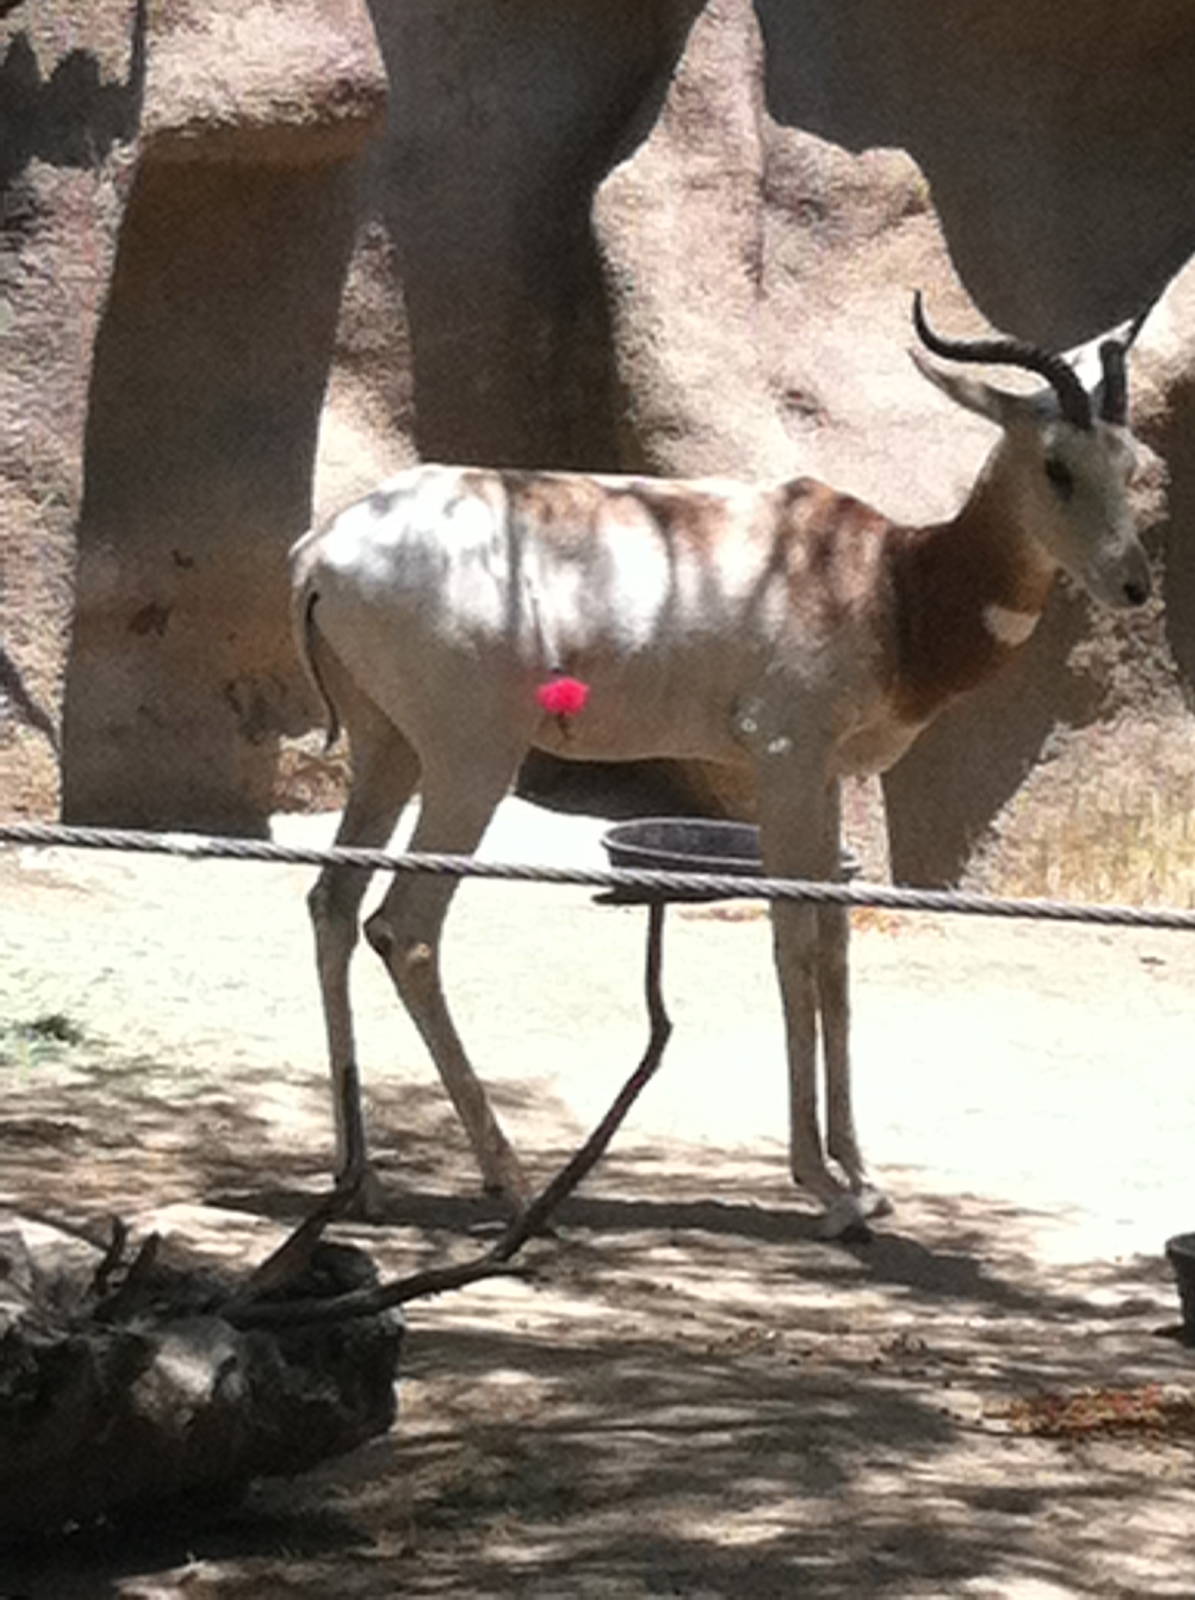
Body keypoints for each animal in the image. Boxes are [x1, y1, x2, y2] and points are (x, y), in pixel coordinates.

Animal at [290, 294, 1157, 1238]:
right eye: (1055, 465)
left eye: (1128, 462)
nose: (1135, 585)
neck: (886, 582)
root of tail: (324, 551)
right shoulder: (781, 762)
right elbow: (793, 945)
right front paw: (823, 1185)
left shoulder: (825, 775)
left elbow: (835, 950)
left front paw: (864, 1176)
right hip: (470, 762)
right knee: (405, 931)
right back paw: (515, 1186)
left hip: (389, 750)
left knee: (333, 905)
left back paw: (360, 1179)